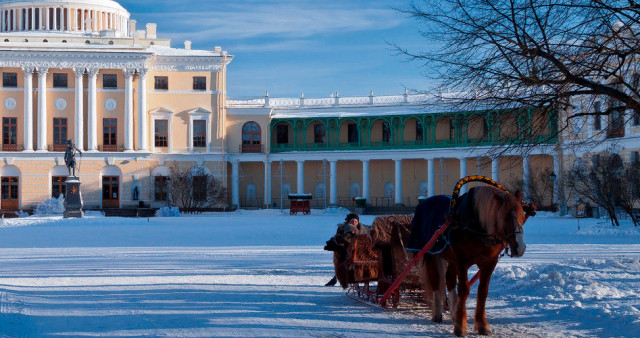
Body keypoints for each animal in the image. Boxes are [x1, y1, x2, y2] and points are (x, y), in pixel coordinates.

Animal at [412, 186, 532, 336]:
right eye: (505, 218)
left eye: (522, 216)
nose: (520, 248)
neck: (476, 226)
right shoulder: (462, 261)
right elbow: (464, 289)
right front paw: (460, 326)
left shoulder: (489, 263)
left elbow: (482, 291)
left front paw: (481, 325)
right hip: (431, 254)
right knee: (435, 279)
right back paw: (437, 313)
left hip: (452, 259)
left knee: (449, 279)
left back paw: (454, 312)